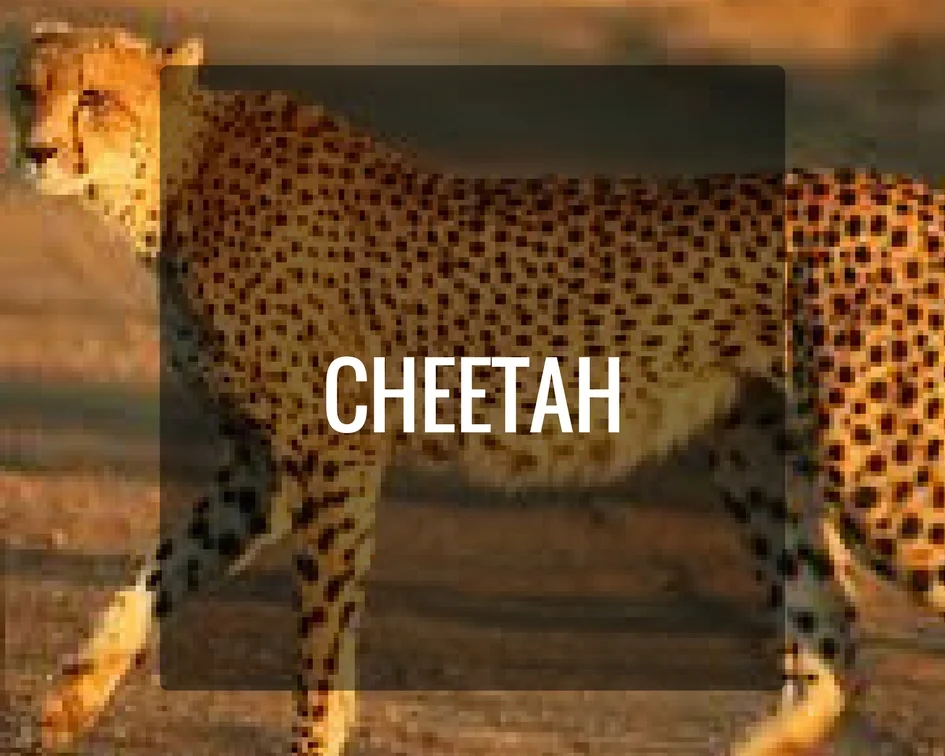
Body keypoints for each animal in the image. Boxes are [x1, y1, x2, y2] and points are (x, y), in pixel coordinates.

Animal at [11, 20, 945, 756]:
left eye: (94, 98)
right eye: (27, 90)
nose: (36, 151)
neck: (175, 178)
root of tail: (917, 193)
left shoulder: (332, 450)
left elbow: (319, 635)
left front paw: (313, 742)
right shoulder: (259, 467)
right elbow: (156, 575)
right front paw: (65, 706)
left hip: (878, 469)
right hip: (758, 454)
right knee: (831, 639)